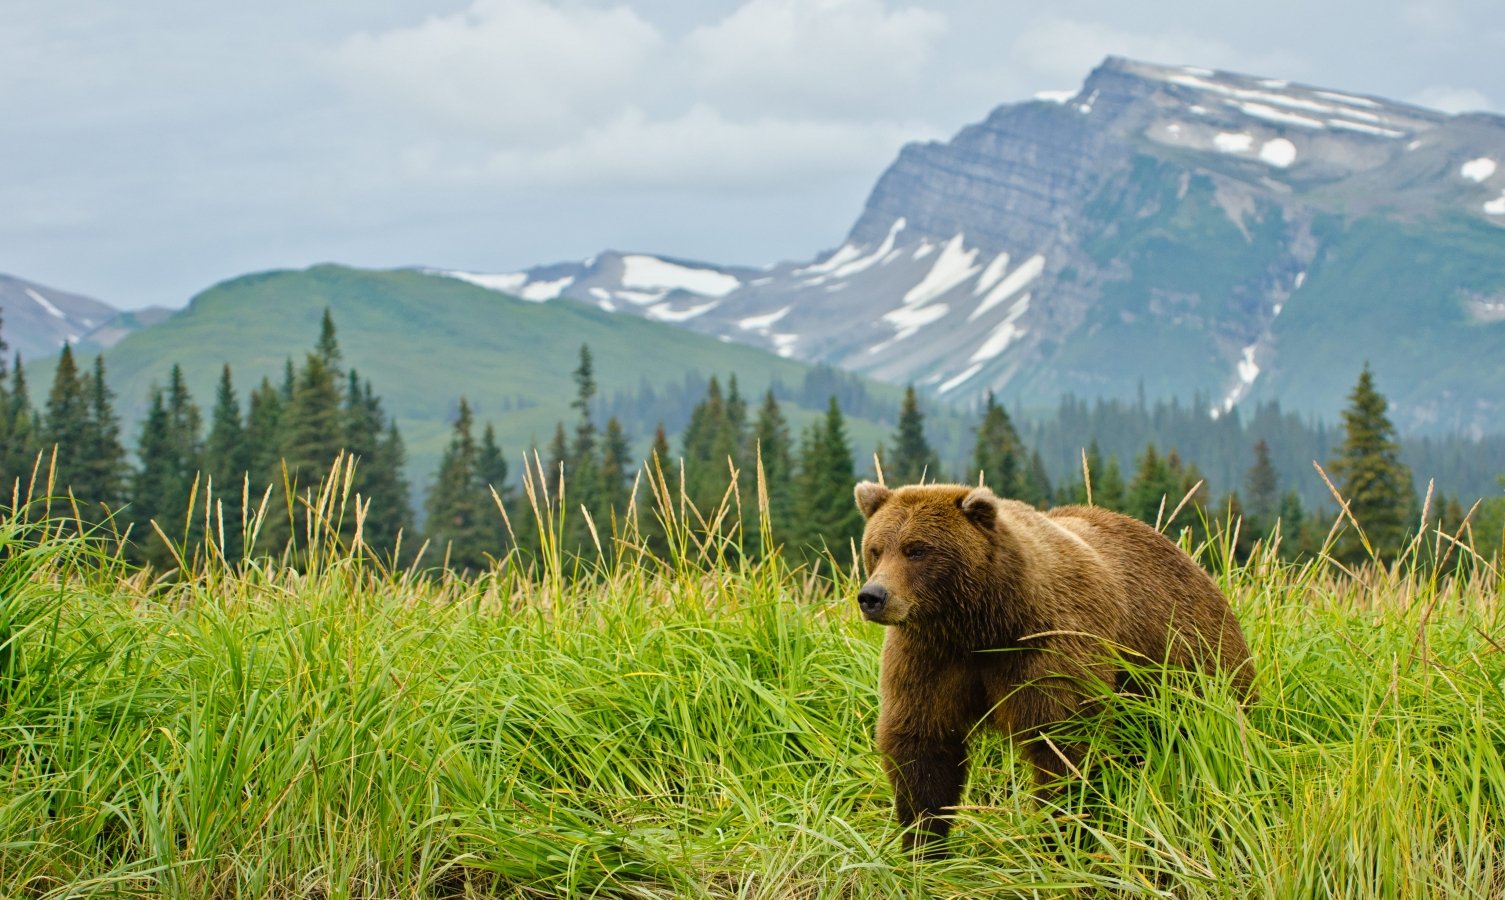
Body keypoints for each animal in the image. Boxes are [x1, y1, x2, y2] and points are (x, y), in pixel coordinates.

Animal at [854, 484, 1252, 854]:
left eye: (917, 549)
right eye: (876, 548)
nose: (873, 596)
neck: (982, 626)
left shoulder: (1050, 648)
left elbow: (1063, 744)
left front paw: (1058, 835)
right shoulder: (929, 656)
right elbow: (921, 743)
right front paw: (923, 844)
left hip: (1189, 661)